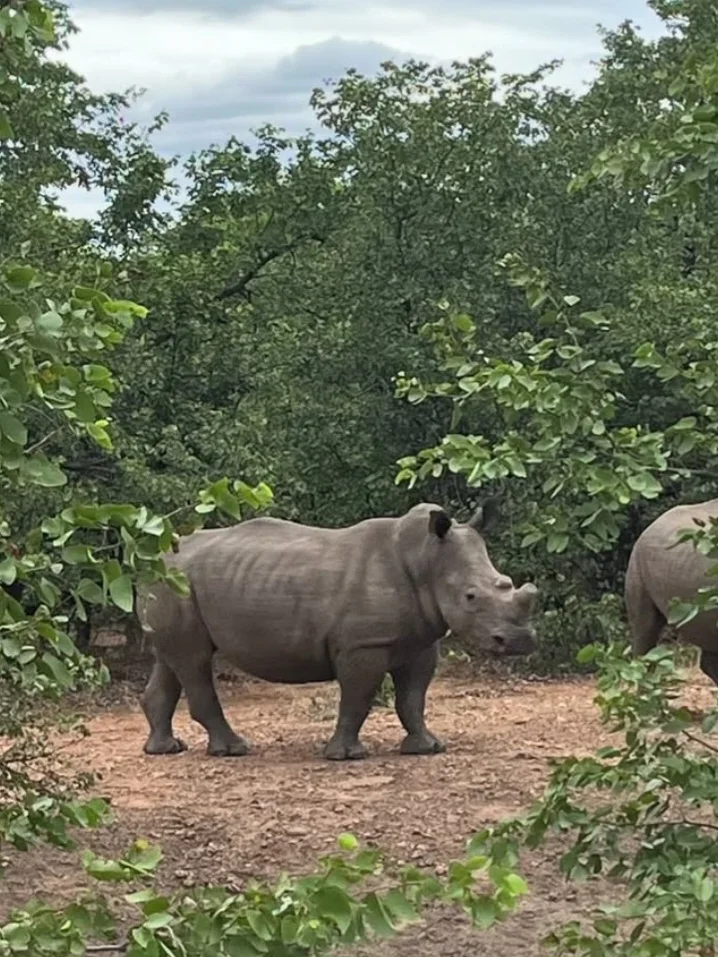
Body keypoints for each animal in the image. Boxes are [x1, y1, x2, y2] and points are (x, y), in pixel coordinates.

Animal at [136, 500, 539, 761]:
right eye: (471, 597)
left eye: (506, 582)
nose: (522, 641)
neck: (426, 558)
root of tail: (154, 560)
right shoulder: (363, 645)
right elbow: (358, 698)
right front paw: (346, 756)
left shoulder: (421, 641)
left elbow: (413, 699)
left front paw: (428, 748)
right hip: (178, 584)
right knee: (194, 660)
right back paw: (233, 750)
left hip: (173, 584)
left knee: (172, 660)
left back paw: (165, 750)